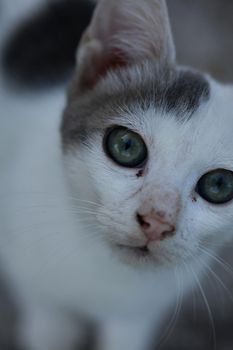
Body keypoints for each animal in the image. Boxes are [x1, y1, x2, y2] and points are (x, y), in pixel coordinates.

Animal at [0, 0, 233, 350]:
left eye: (219, 184)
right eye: (126, 146)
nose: (157, 221)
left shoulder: (140, 314)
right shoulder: (38, 292)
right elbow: (51, 331)